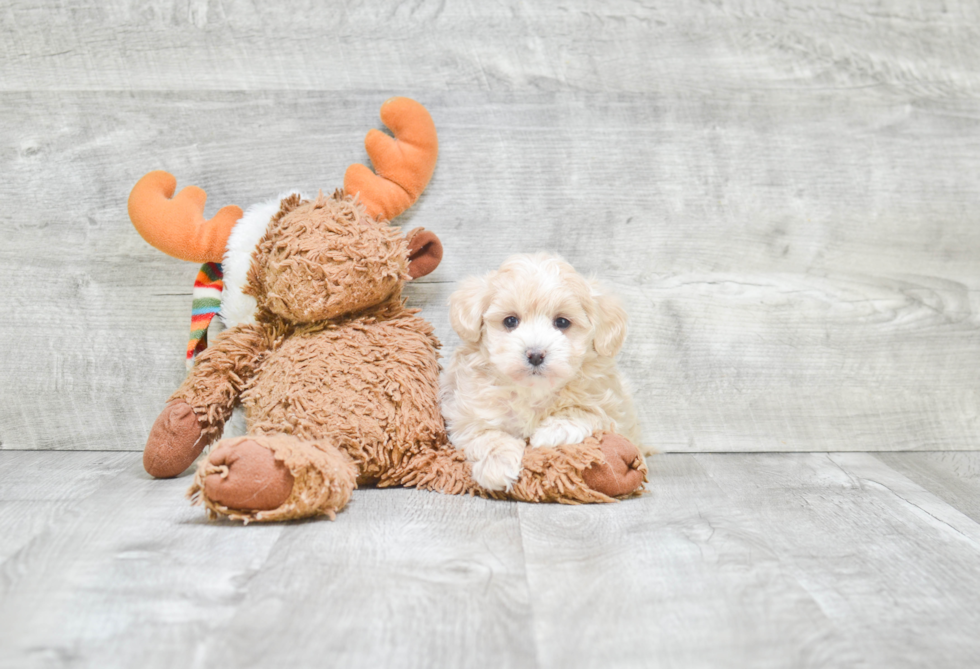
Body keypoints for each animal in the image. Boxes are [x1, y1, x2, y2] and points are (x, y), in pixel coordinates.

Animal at [438, 250, 644, 490]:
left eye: (562, 322)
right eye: (510, 321)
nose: (535, 354)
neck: (533, 391)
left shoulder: (613, 409)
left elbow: (586, 411)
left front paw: (553, 431)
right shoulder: (467, 411)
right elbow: (484, 434)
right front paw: (497, 465)